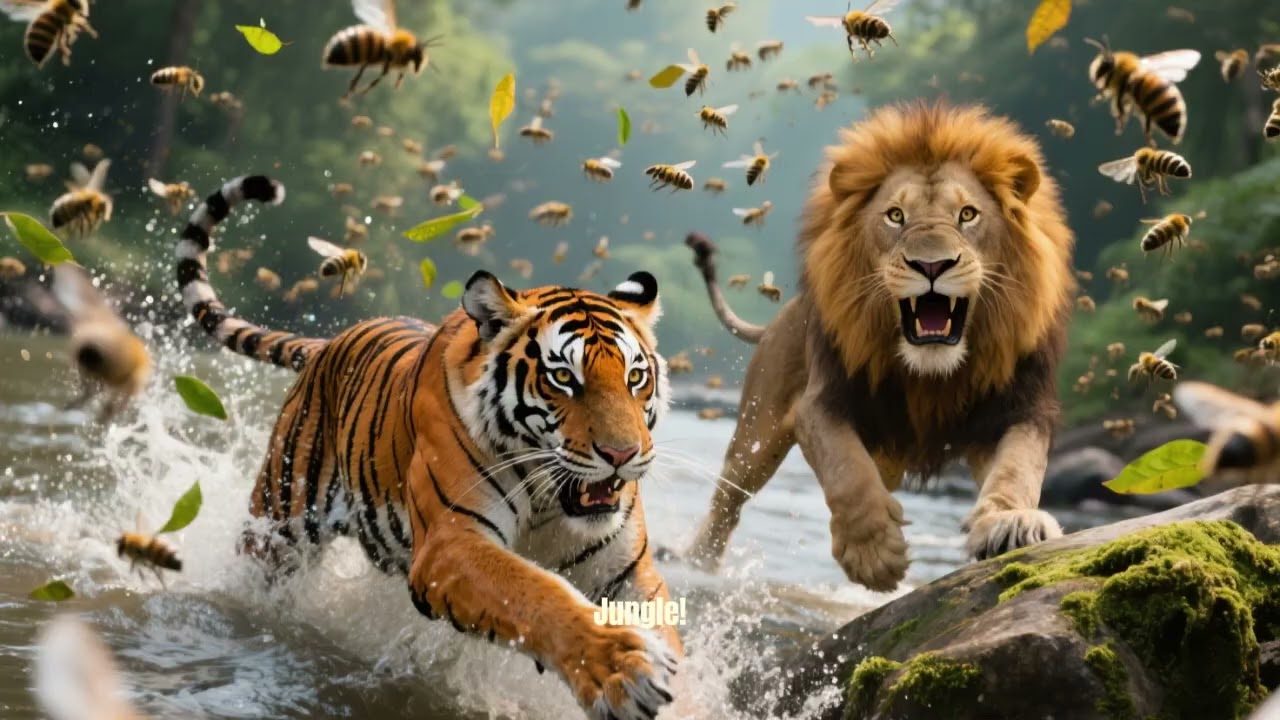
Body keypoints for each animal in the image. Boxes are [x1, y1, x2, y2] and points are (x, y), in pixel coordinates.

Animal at [173, 175, 679, 720]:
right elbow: (537, 591)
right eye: (563, 377)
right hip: (277, 526)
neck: (550, 503)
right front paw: (624, 668)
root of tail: (327, 343)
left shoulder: (626, 571)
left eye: (635, 377)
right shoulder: (451, 543)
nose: (622, 455)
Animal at [684, 101, 1076, 591]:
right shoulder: (821, 403)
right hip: (756, 436)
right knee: (727, 503)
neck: (932, 373)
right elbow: (847, 472)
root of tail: (782, 316)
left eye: (968, 215)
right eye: (895, 216)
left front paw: (1011, 524)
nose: (932, 265)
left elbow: (1018, 469)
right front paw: (872, 553)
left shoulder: (1016, 408)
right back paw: (695, 564)